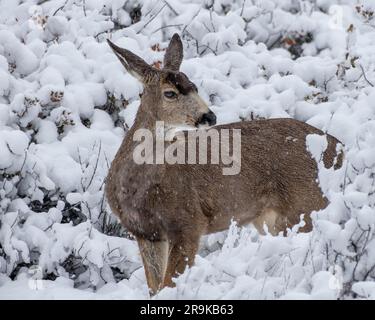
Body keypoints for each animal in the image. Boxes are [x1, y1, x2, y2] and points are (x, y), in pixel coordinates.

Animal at [105, 34, 344, 296]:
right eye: (170, 93)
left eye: (195, 86)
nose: (209, 116)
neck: (137, 187)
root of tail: (340, 149)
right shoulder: (146, 233)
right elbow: (155, 287)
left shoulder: (189, 222)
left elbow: (169, 285)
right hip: (273, 218)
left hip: (307, 204)